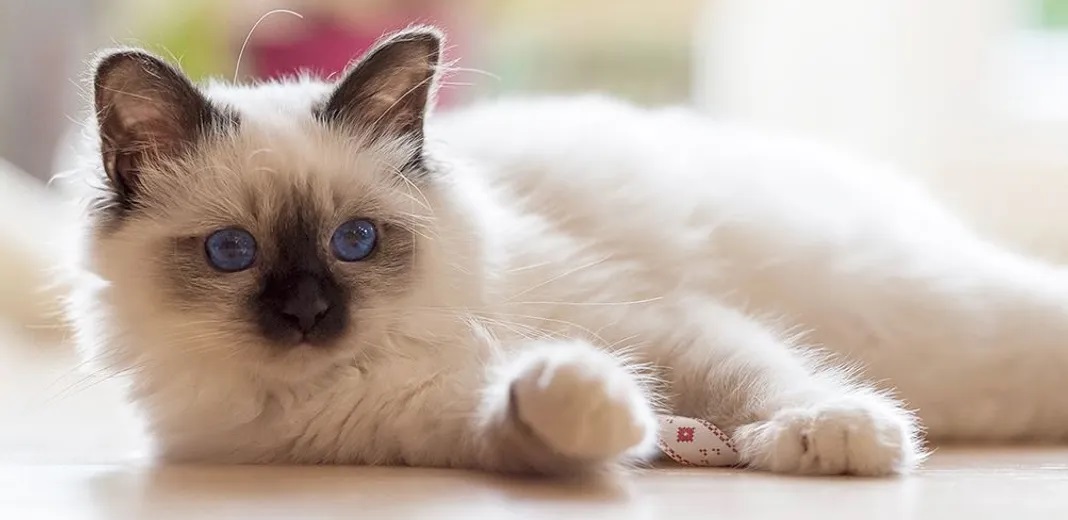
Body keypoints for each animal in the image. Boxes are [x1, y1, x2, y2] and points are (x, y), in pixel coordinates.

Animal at [64, 26, 1068, 478]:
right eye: (232, 252)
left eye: (356, 241)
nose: (310, 313)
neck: (369, 370)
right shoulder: (427, 429)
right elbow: (540, 419)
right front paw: (596, 398)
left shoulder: (656, 318)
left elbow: (758, 380)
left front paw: (832, 436)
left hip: (941, 312)